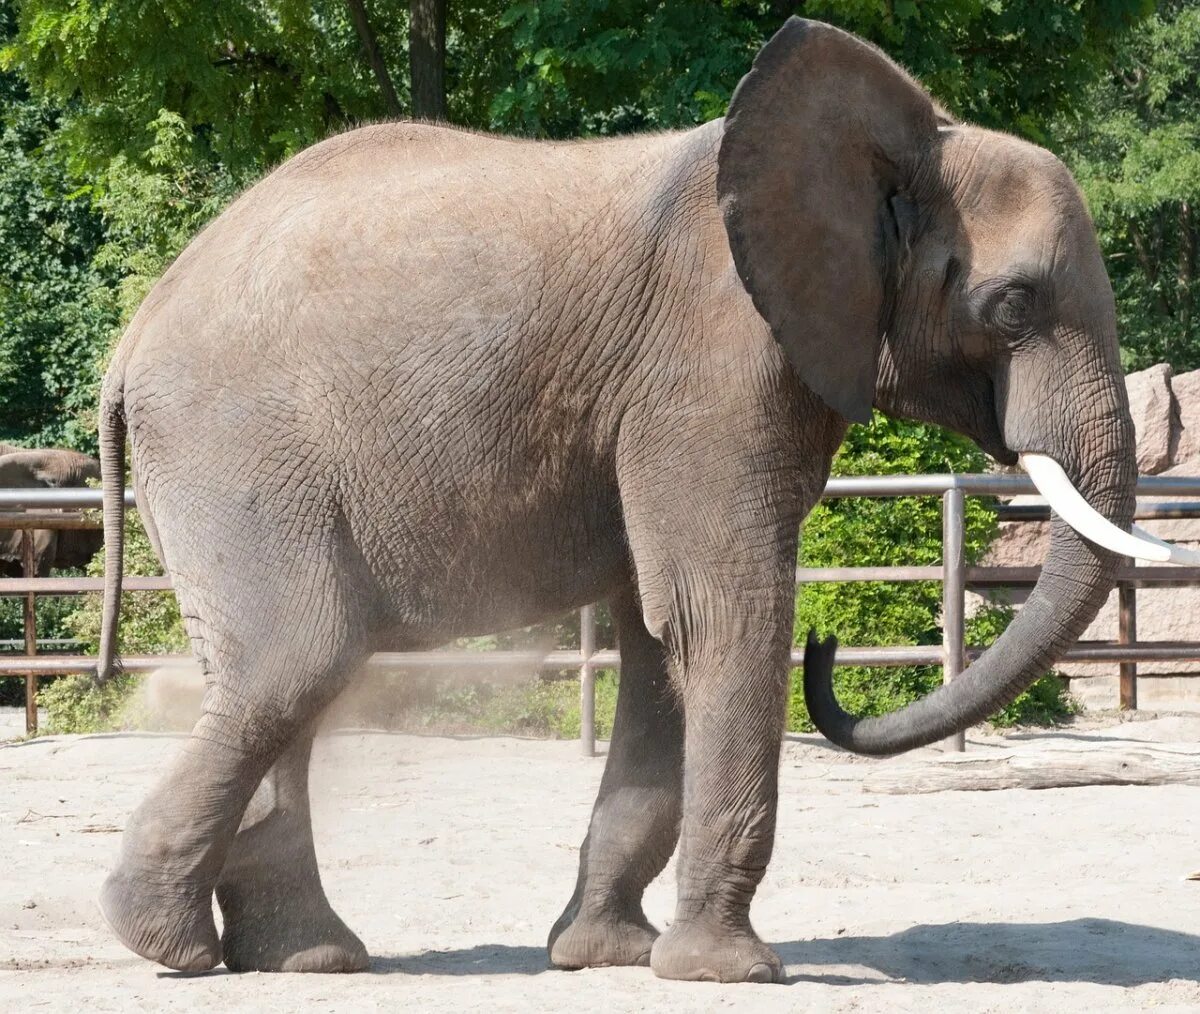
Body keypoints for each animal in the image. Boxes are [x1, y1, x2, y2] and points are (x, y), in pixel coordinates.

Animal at [91, 15, 1180, 979]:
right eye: (1013, 307)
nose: (831, 655)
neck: (906, 142)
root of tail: (135, 335)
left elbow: (661, 642)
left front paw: (606, 956)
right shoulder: (712, 361)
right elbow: (720, 614)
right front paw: (729, 973)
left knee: (271, 674)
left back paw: (298, 958)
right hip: (238, 447)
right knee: (300, 657)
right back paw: (172, 947)